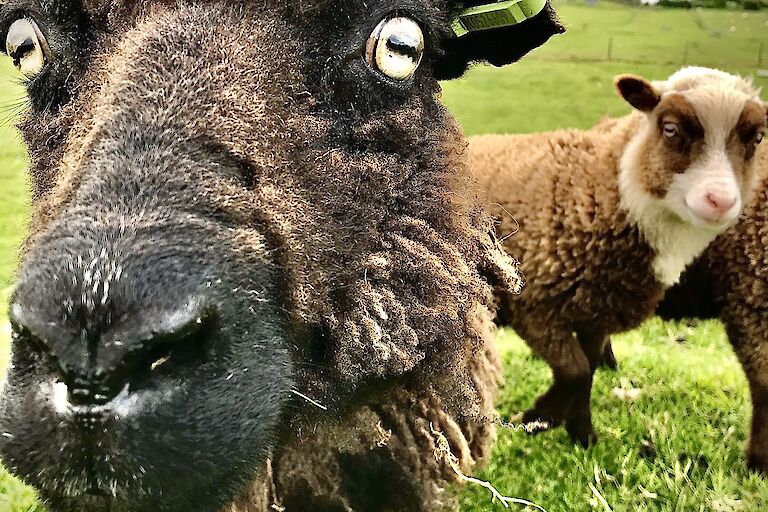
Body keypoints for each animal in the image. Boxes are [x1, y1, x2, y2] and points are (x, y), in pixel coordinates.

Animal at [472, 67, 764, 444]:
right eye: (670, 128)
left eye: (757, 138)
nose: (721, 201)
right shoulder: (533, 306)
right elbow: (576, 371)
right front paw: (538, 418)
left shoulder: (595, 312)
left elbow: (587, 372)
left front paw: (581, 435)